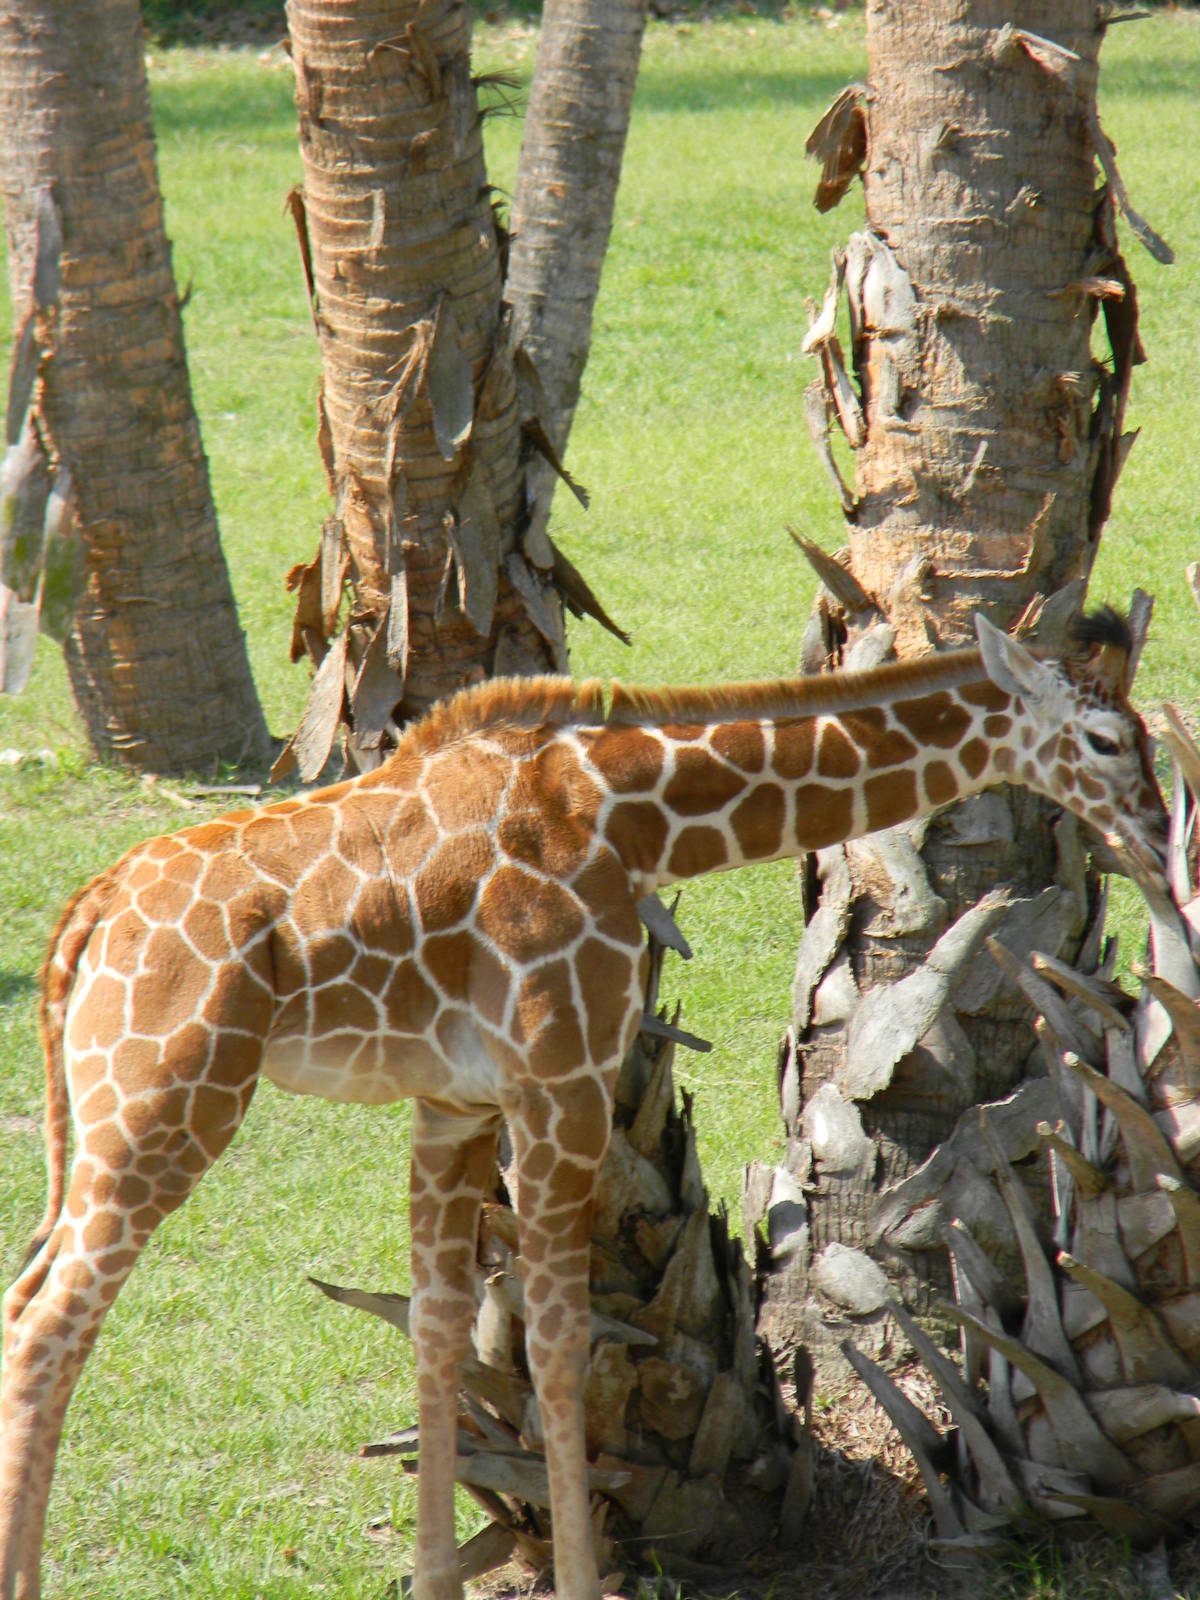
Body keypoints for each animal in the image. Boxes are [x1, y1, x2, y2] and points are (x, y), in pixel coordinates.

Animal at [0, 609, 1167, 1600]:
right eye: (1109, 738)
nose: (1160, 841)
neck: (628, 818)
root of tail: (86, 915)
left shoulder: (455, 1104)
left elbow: (438, 1327)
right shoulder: (559, 1080)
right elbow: (563, 1341)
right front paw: (579, 1577)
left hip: (115, 1113)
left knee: (24, 1297)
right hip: (170, 1098)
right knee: (48, 1323)